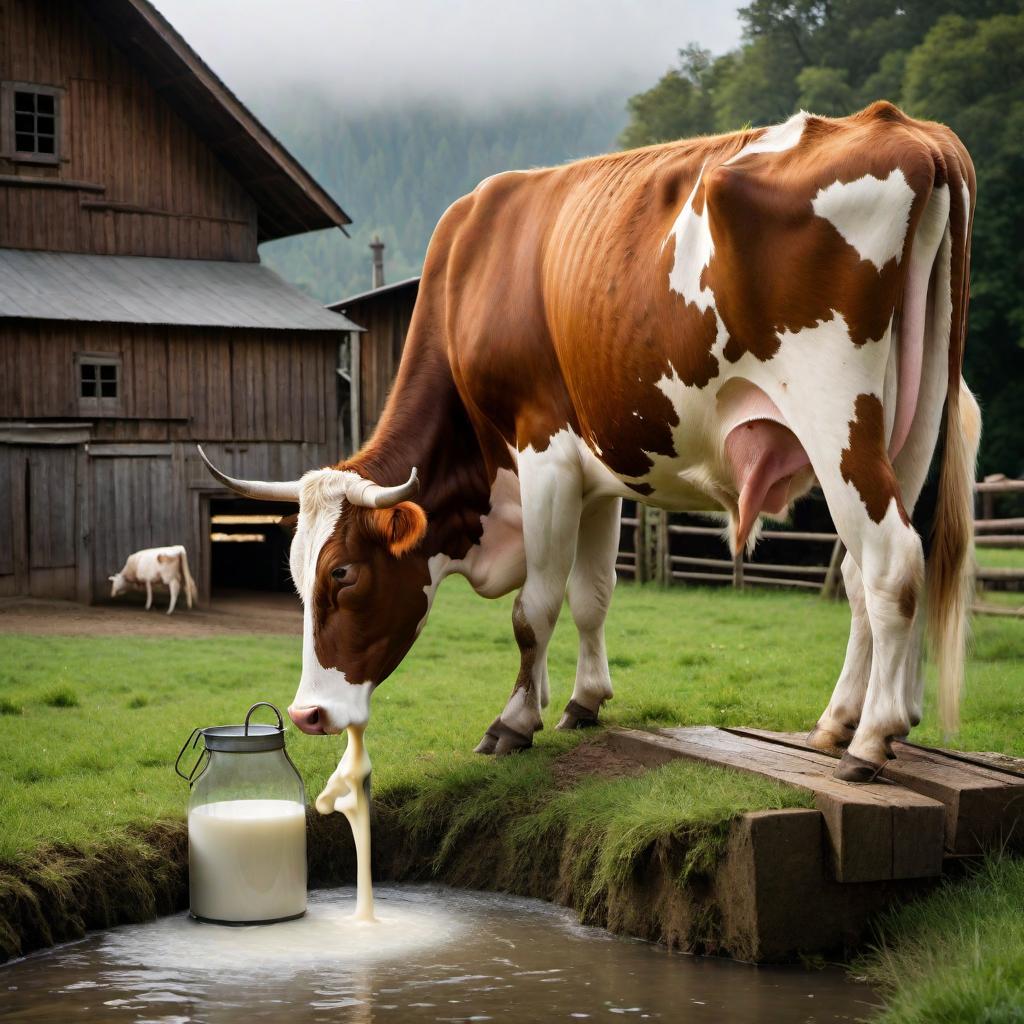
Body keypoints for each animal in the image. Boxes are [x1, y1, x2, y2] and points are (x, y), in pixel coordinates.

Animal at [197, 101, 974, 782]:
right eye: (296, 577)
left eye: (343, 574)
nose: (307, 714)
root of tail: (905, 128)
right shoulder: (602, 477)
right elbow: (592, 595)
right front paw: (582, 701)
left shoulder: (543, 454)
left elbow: (532, 609)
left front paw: (514, 721)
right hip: (909, 428)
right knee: (873, 572)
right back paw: (852, 720)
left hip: (836, 417)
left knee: (889, 561)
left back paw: (870, 741)